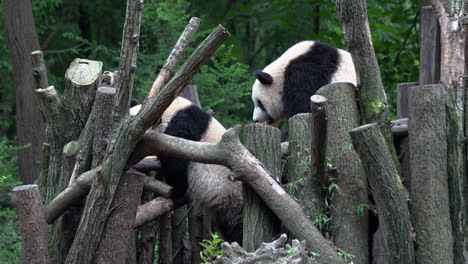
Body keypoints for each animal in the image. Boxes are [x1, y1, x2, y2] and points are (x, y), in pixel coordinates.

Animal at [131, 96, 243, 242]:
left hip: (231, 195)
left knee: (237, 226)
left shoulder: (181, 127)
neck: (170, 111)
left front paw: (176, 192)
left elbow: (176, 163)